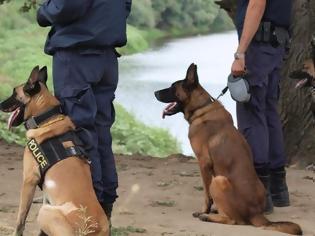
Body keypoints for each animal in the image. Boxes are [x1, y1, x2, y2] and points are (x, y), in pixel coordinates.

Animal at [0, 66, 109, 236]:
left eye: (14, 93)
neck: (46, 119)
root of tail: (92, 228)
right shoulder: (45, 187)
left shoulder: (29, 180)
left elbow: (20, 219)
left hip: (46, 212)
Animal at [156, 63, 304, 235]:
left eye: (173, 87)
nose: (155, 93)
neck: (201, 107)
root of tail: (255, 213)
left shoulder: (204, 163)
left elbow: (206, 194)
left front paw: (204, 210)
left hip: (219, 180)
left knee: (234, 220)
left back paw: (208, 216)